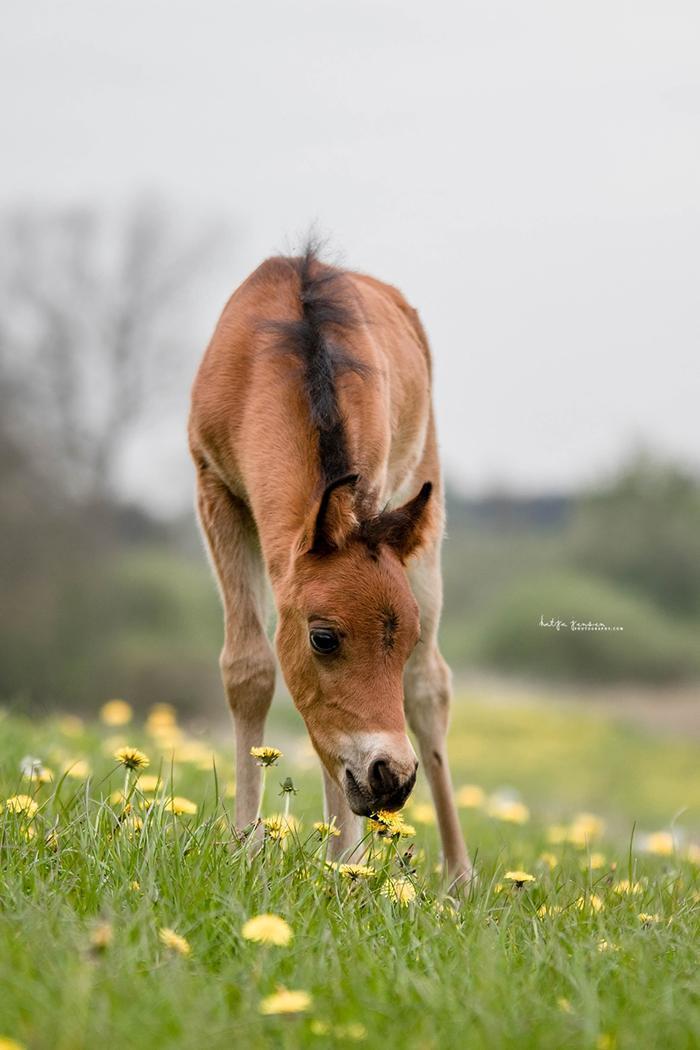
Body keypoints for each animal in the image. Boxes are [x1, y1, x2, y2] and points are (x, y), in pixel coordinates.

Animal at [188, 247, 474, 886]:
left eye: (404, 638)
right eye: (323, 637)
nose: (393, 778)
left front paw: (346, 866)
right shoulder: (215, 487)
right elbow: (249, 669)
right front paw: (245, 846)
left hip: (426, 506)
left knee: (429, 687)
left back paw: (457, 876)